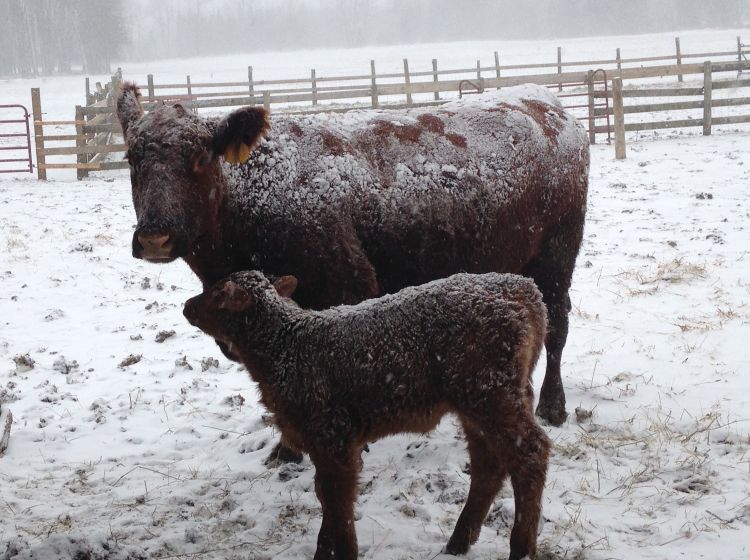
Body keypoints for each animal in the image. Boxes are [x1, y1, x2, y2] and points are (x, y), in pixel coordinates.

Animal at [116, 82, 589, 464]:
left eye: (199, 157)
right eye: (131, 158)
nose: (156, 236)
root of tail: (545, 100)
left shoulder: (348, 287)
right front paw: (286, 450)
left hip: (558, 254)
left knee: (558, 326)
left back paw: (553, 405)